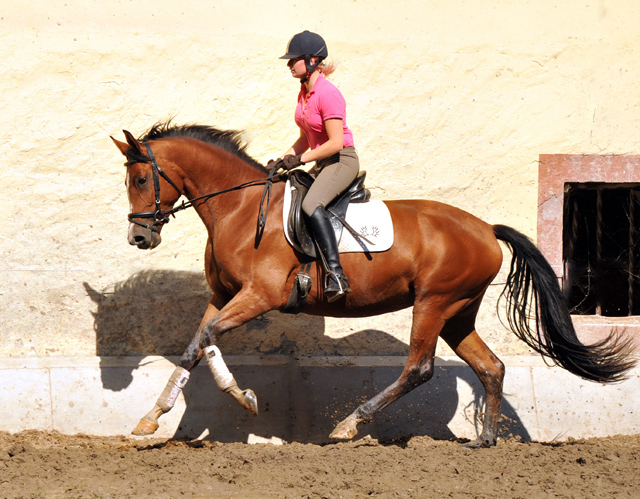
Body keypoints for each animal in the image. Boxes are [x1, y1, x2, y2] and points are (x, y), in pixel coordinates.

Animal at [112, 122, 632, 450]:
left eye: (139, 178)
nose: (139, 237)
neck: (239, 208)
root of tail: (486, 228)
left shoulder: (259, 296)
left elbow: (210, 339)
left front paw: (245, 398)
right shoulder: (222, 297)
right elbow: (195, 345)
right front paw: (150, 418)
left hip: (433, 303)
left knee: (419, 368)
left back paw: (348, 425)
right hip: (458, 312)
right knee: (491, 366)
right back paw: (485, 439)